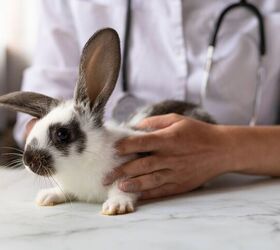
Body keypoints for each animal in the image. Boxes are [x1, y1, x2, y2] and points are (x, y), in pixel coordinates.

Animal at [0, 27, 215, 215]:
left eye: (62, 134)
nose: (27, 160)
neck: (81, 164)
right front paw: (46, 197)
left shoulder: (128, 173)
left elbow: (122, 189)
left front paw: (116, 206)